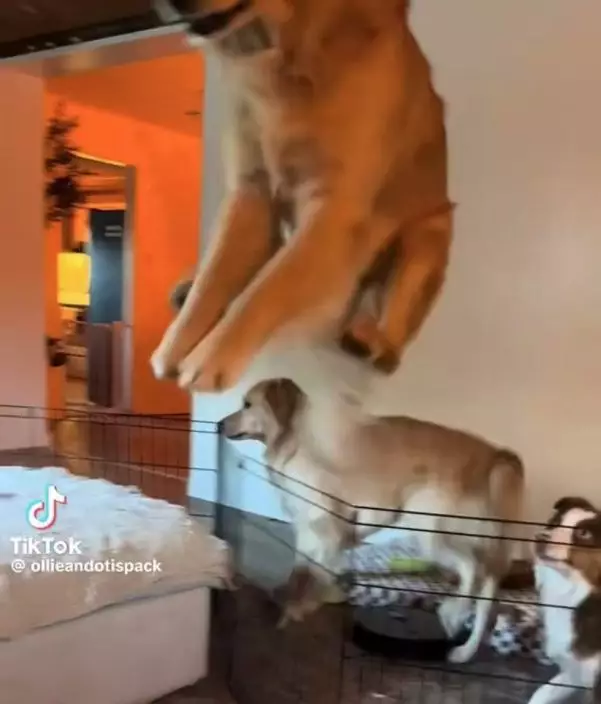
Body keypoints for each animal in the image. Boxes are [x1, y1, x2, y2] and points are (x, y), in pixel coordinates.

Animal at [151, 0, 453, 393]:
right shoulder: (251, 191)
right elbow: (213, 277)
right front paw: (174, 345)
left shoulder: (333, 209)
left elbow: (263, 290)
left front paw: (208, 359)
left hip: (428, 237)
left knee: (392, 335)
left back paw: (371, 340)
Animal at [220, 378, 525, 663]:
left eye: (247, 404)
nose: (218, 425)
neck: (295, 437)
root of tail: (498, 456)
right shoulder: (307, 530)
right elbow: (300, 571)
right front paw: (290, 598)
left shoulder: (328, 529)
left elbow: (316, 575)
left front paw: (299, 608)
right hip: (478, 547)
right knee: (485, 599)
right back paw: (464, 650)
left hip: (431, 531)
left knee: (471, 572)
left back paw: (453, 615)